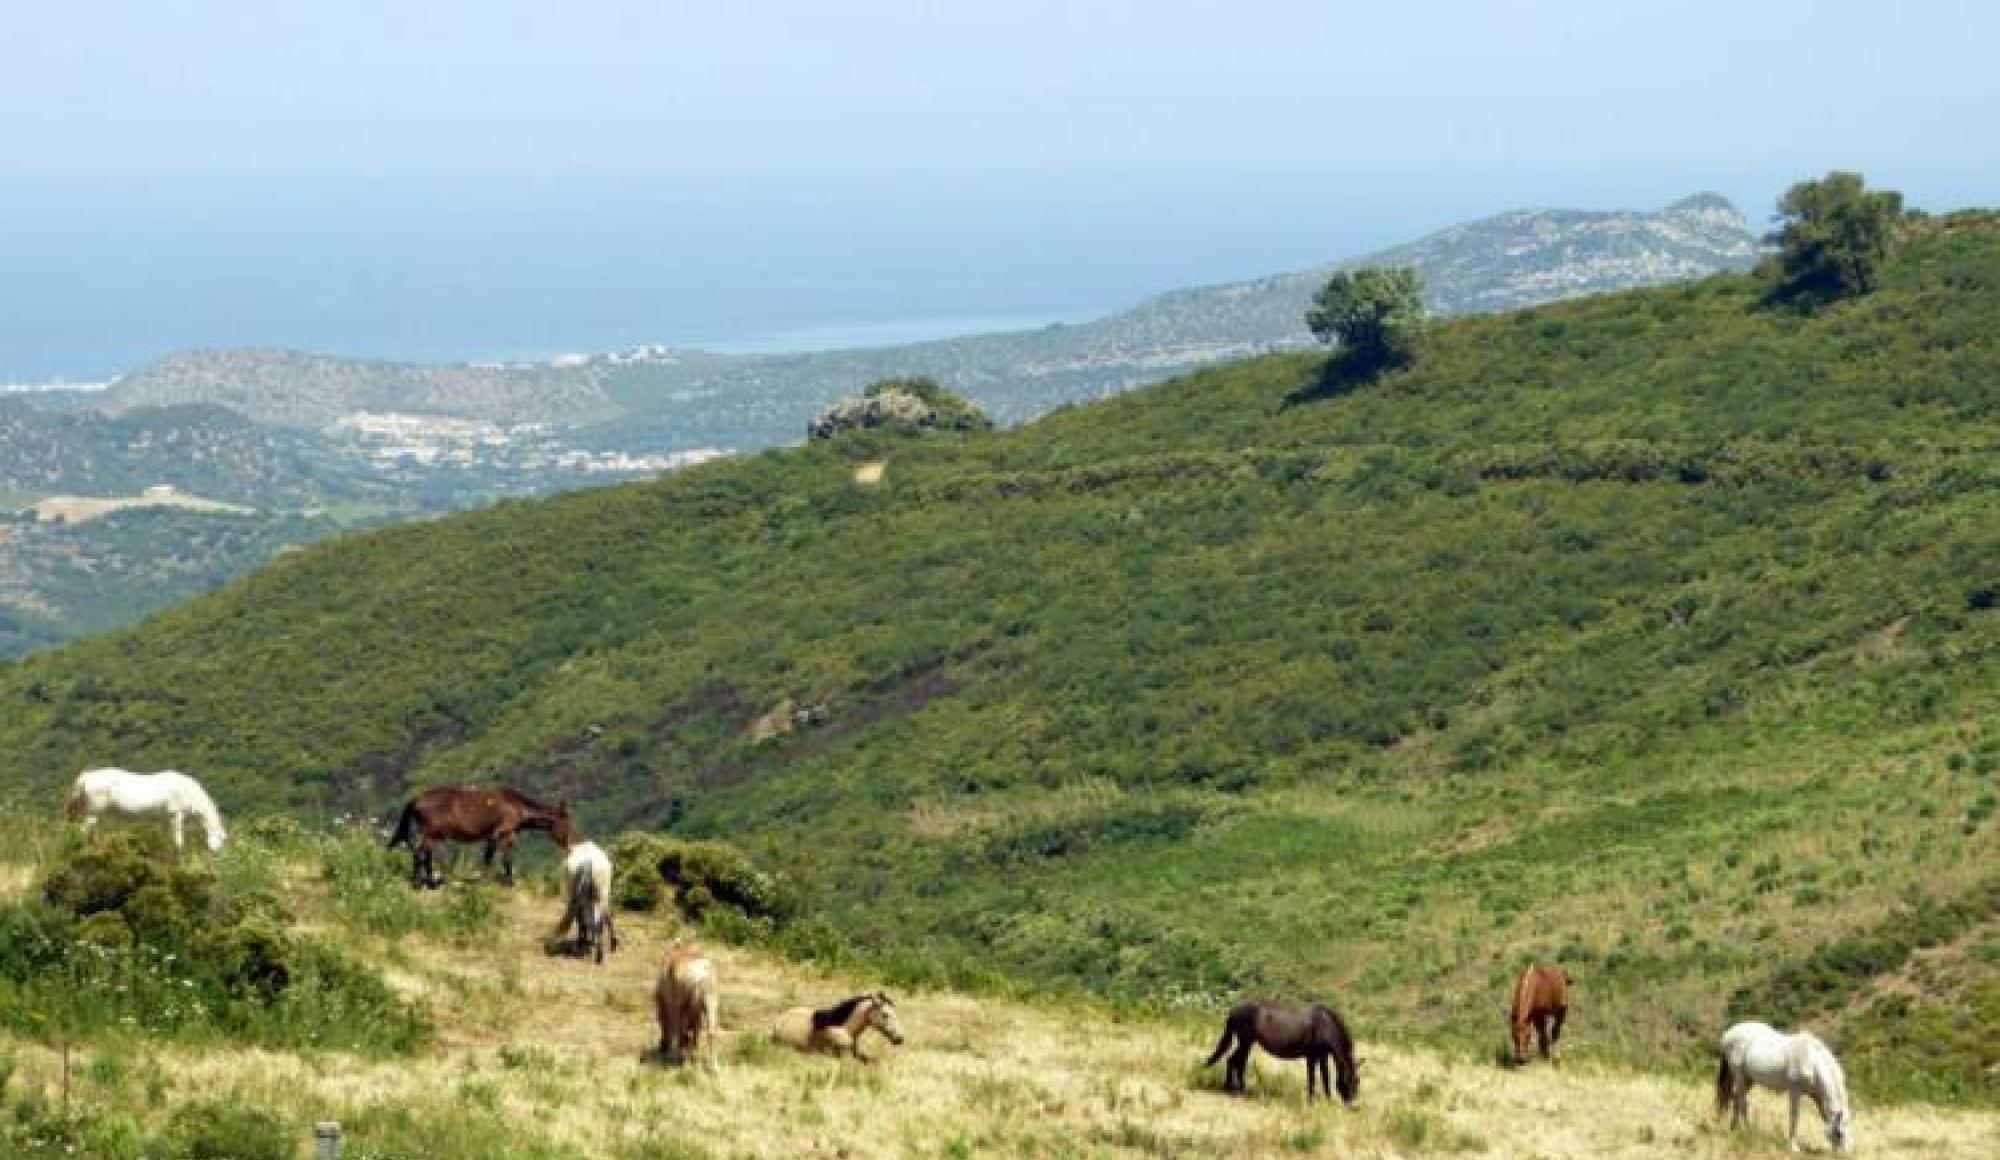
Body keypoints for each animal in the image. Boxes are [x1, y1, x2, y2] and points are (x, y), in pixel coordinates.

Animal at [65, 768, 226, 853]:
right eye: (223, 840)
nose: (217, 855)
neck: (187, 790)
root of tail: (88, 776)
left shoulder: (164, 818)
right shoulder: (176, 816)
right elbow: (178, 839)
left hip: (97, 814)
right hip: (93, 813)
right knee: (83, 832)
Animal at [386, 786, 575, 888]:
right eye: (566, 825)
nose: (571, 845)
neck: (516, 806)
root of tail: (416, 799)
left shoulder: (492, 837)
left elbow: (488, 859)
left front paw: (485, 882)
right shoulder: (504, 835)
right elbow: (506, 859)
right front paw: (509, 883)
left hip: (434, 836)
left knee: (426, 857)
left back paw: (430, 883)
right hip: (430, 834)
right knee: (420, 855)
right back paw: (419, 884)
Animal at [654, 938, 720, 1069]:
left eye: (659, 1022)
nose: (662, 1047)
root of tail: (703, 973)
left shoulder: (674, 1005)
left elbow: (678, 1030)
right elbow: (693, 1032)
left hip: (688, 1004)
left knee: (685, 1032)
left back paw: (685, 1061)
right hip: (710, 1001)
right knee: (710, 1031)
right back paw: (713, 1066)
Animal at [1204, 1000, 1360, 1106]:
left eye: (1357, 1080)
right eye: (1349, 1079)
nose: (1352, 1105)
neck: (1326, 1025)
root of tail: (1234, 1010)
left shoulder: (1322, 1056)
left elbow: (1325, 1077)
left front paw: (1328, 1100)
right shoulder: (1311, 1056)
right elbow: (1312, 1078)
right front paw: (1311, 1101)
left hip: (1248, 1042)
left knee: (1236, 1061)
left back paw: (1237, 1089)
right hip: (1245, 1041)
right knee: (1235, 1061)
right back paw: (1234, 1091)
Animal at [1716, 1021, 1853, 1153]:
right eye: (1839, 1133)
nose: (1844, 1154)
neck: (1811, 1061)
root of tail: (1729, 1033)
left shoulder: (1817, 1095)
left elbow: (1825, 1117)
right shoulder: (1795, 1091)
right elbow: (1794, 1116)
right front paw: (1793, 1146)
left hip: (1749, 1079)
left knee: (1736, 1097)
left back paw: (1734, 1128)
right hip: (1739, 1075)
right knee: (1742, 1101)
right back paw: (1748, 1131)